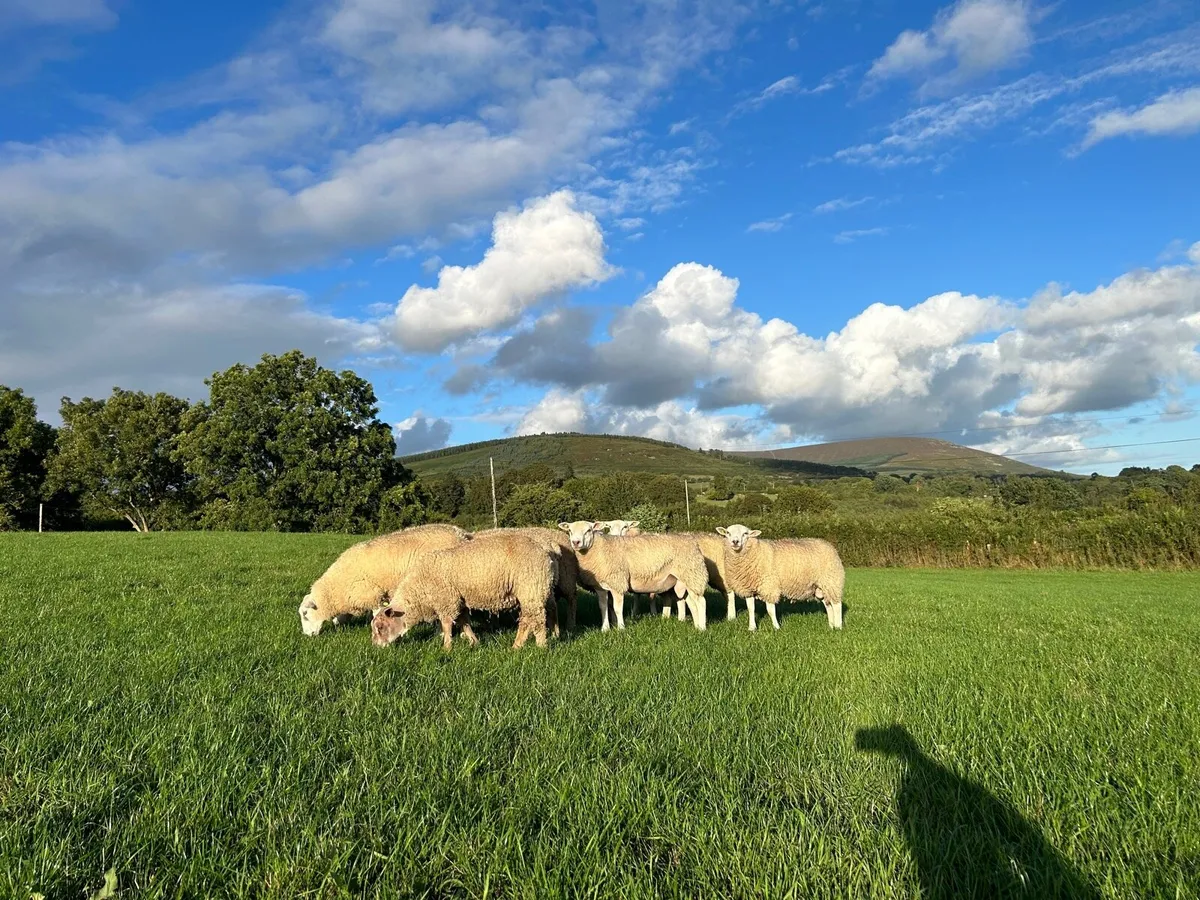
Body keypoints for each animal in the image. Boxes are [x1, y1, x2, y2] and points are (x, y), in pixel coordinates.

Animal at [298, 523, 468, 636]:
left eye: (305, 614)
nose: (307, 636)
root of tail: (463, 535)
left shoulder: (372, 595)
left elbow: (375, 614)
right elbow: (339, 619)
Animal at [371, 531, 556, 651]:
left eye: (380, 627)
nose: (375, 647)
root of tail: (543, 551)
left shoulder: (447, 600)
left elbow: (446, 624)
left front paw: (446, 648)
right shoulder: (458, 600)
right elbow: (463, 622)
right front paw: (474, 642)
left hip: (531, 588)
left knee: (537, 619)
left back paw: (539, 646)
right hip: (532, 592)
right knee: (528, 619)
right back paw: (518, 646)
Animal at [557, 521, 708, 631]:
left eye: (588, 530)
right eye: (570, 531)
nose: (576, 542)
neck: (599, 549)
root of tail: (691, 540)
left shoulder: (617, 583)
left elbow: (617, 608)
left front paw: (621, 628)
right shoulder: (600, 586)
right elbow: (603, 607)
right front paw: (605, 629)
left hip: (693, 574)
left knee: (701, 602)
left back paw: (702, 629)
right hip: (683, 581)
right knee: (691, 602)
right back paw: (696, 626)